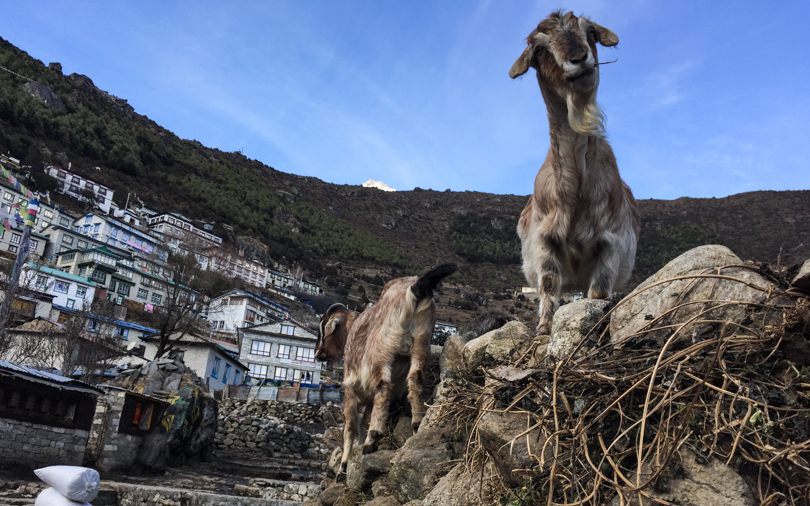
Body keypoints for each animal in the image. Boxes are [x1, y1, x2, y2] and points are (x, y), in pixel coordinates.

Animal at [315, 263, 457, 474]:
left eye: (324, 328)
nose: (318, 353)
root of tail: (414, 289)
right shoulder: (368, 400)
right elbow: (362, 423)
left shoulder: (350, 391)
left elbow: (351, 426)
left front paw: (344, 465)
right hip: (421, 343)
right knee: (415, 379)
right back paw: (416, 424)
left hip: (383, 350)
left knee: (383, 387)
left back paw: (372, 439)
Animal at [509, 11, 640, 335]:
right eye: (539, 49)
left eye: (590, 32)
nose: (579, 59)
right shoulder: (544, 242)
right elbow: (547, 285)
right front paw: (544, 330)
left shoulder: (611, 243)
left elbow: (599, 292)